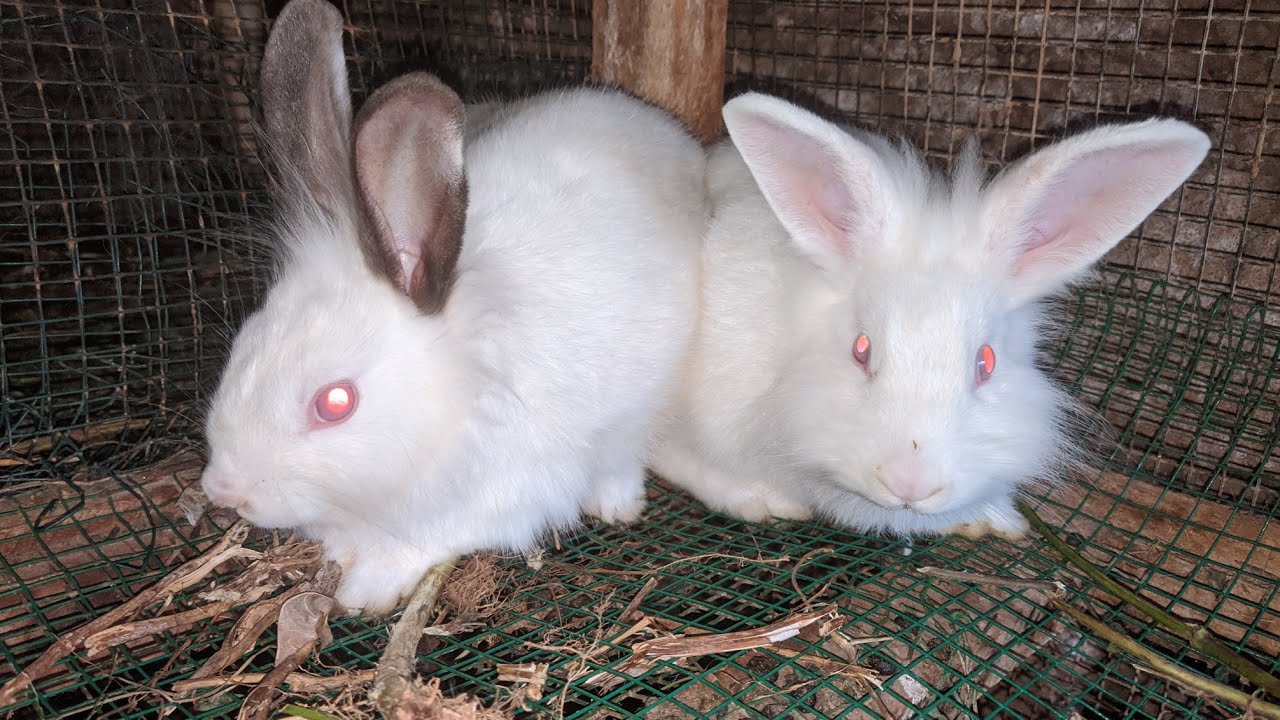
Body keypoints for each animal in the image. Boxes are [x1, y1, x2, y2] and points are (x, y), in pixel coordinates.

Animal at [198, 0, 705, 614]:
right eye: (243, 344)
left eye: (336, 402)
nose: (224, 489)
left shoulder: (495, 498)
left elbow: (421, 545)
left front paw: (363, 591)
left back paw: (615, 503)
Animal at [652, 92, 1210, 539]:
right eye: (861, 350)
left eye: (986, 362)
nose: (910, 483)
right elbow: (682, 458)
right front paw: (759, 497)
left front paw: (995, 520)